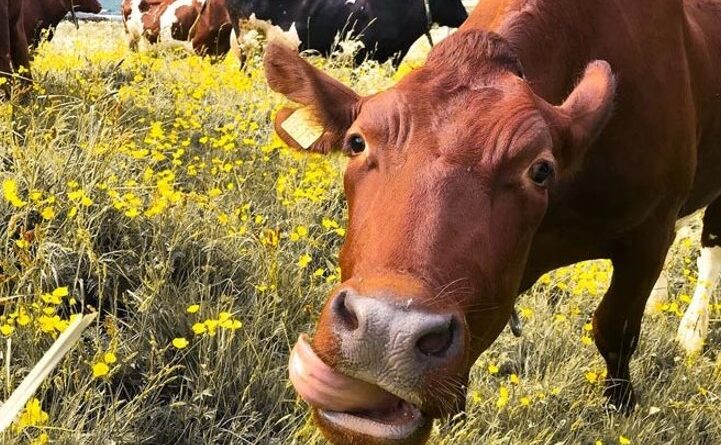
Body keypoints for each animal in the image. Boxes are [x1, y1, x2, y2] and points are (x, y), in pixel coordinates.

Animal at [263, 0, 721, 443]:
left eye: (540, 170)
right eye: (356, 142)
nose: (386, 330)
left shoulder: (648, 234)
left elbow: (616, 328)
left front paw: (620, 407)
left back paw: (693, 332)